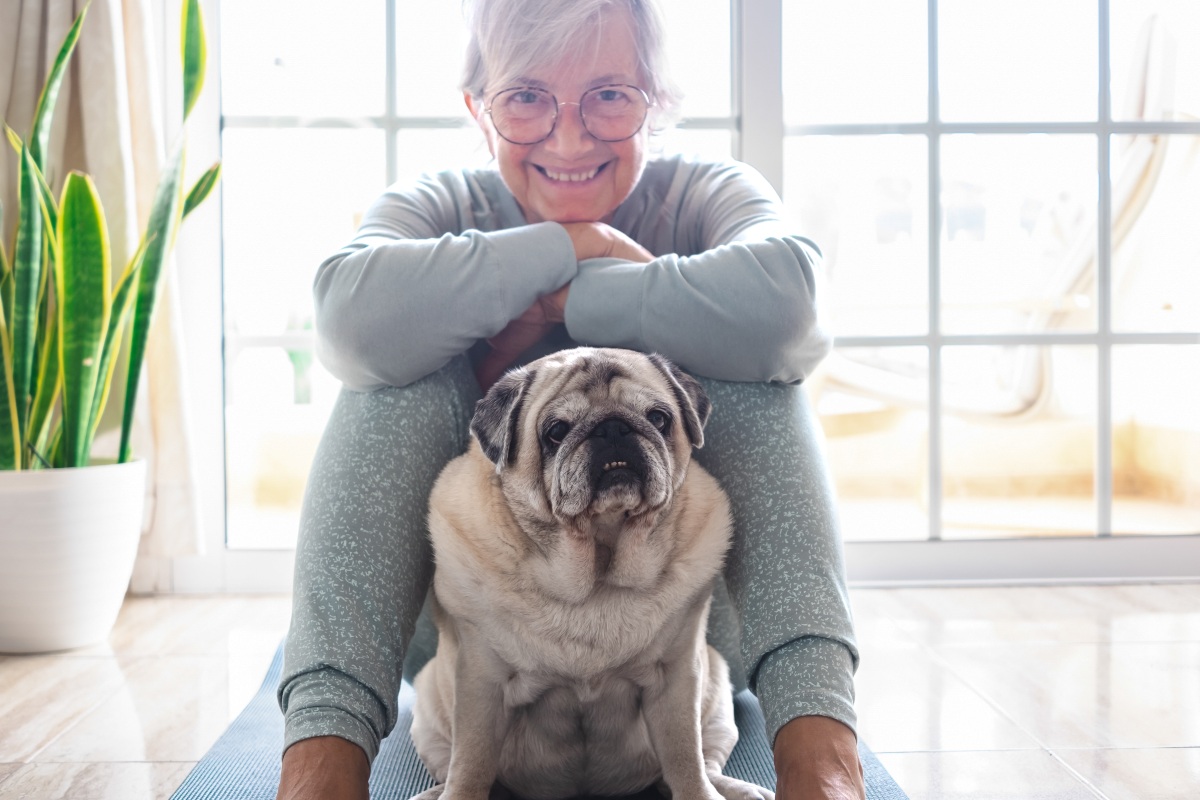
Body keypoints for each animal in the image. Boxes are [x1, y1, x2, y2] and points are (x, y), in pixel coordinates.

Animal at [408, 347, 772, 800]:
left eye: (659, 418)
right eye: (556, 431)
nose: (613, 426)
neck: (597, 563)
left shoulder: (676, 678)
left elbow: (686, 758)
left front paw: (700, 792)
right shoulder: (481, 683)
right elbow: (471, 765)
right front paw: (459, 791)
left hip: (717, 692)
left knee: (702, 762)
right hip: (429, 705)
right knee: (451, 765)